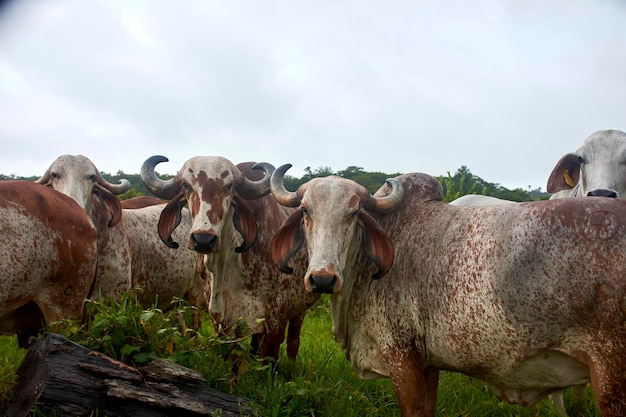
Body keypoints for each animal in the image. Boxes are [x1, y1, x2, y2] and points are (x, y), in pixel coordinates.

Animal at [140, 154, 320, 360]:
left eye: (229, 186)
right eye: (186, 185)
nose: (203, 239)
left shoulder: (276, 318)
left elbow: (270, 358)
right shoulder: (222, 321)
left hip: (299, 310)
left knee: (293, 342)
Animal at [270, 163, 624, 416]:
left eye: (354, 213)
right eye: (305, 211)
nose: (323, 279)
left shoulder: (402, 356)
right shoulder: (428, 364)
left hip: (610, 378)